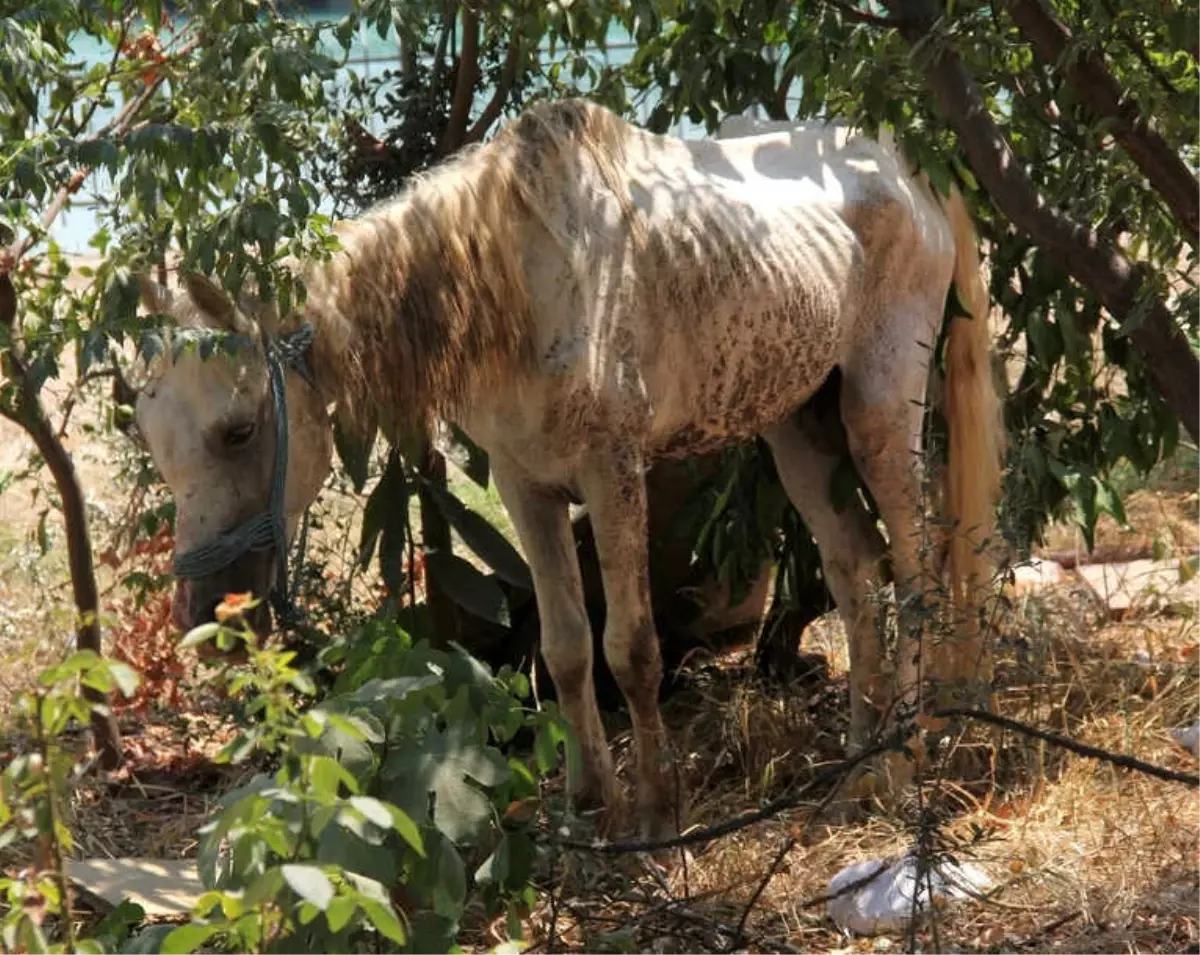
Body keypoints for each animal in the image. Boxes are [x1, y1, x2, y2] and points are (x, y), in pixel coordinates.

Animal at [136, 100, 1008, 839]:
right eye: (153, 438)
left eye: (239, 430)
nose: (207, 619)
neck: (517, 281)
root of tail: (906, 168)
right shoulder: (526, 485)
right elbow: (562, 647)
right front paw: (588, 807)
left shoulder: (612, 473)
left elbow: (633, 647)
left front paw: (655, 813)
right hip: (799, 425)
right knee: (857, 570)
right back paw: (859, 757)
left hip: (879, 411)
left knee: (918, 570)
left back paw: (906, 756)